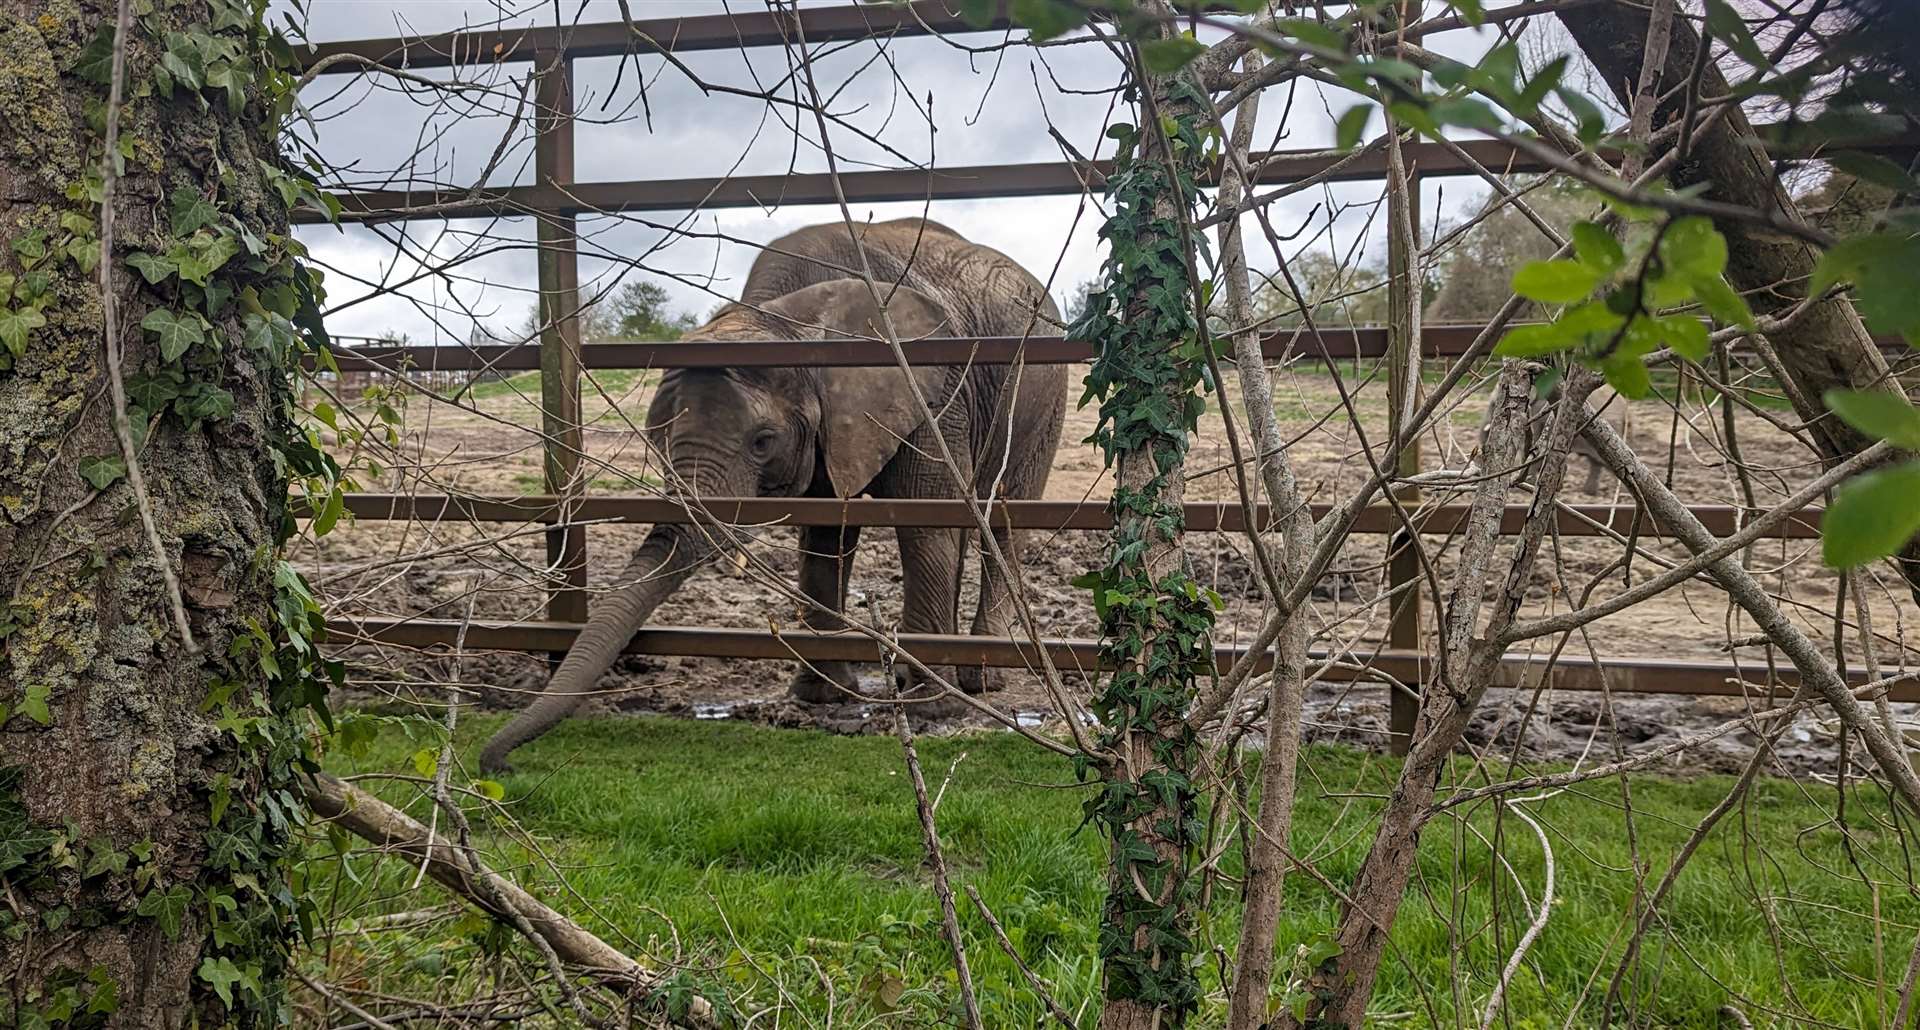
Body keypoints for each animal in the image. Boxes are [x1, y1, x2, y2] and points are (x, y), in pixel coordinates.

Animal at [478, 217, 1067, 772]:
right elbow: (824, 534)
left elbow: (925, 520)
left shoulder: (931, 390)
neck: (781, 318)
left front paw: (929, 710)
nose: (498, 763)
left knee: (1003, 516)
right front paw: (822, 698)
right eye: (655, 438)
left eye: (762, 442)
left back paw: (979, 681)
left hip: (1043, 394)